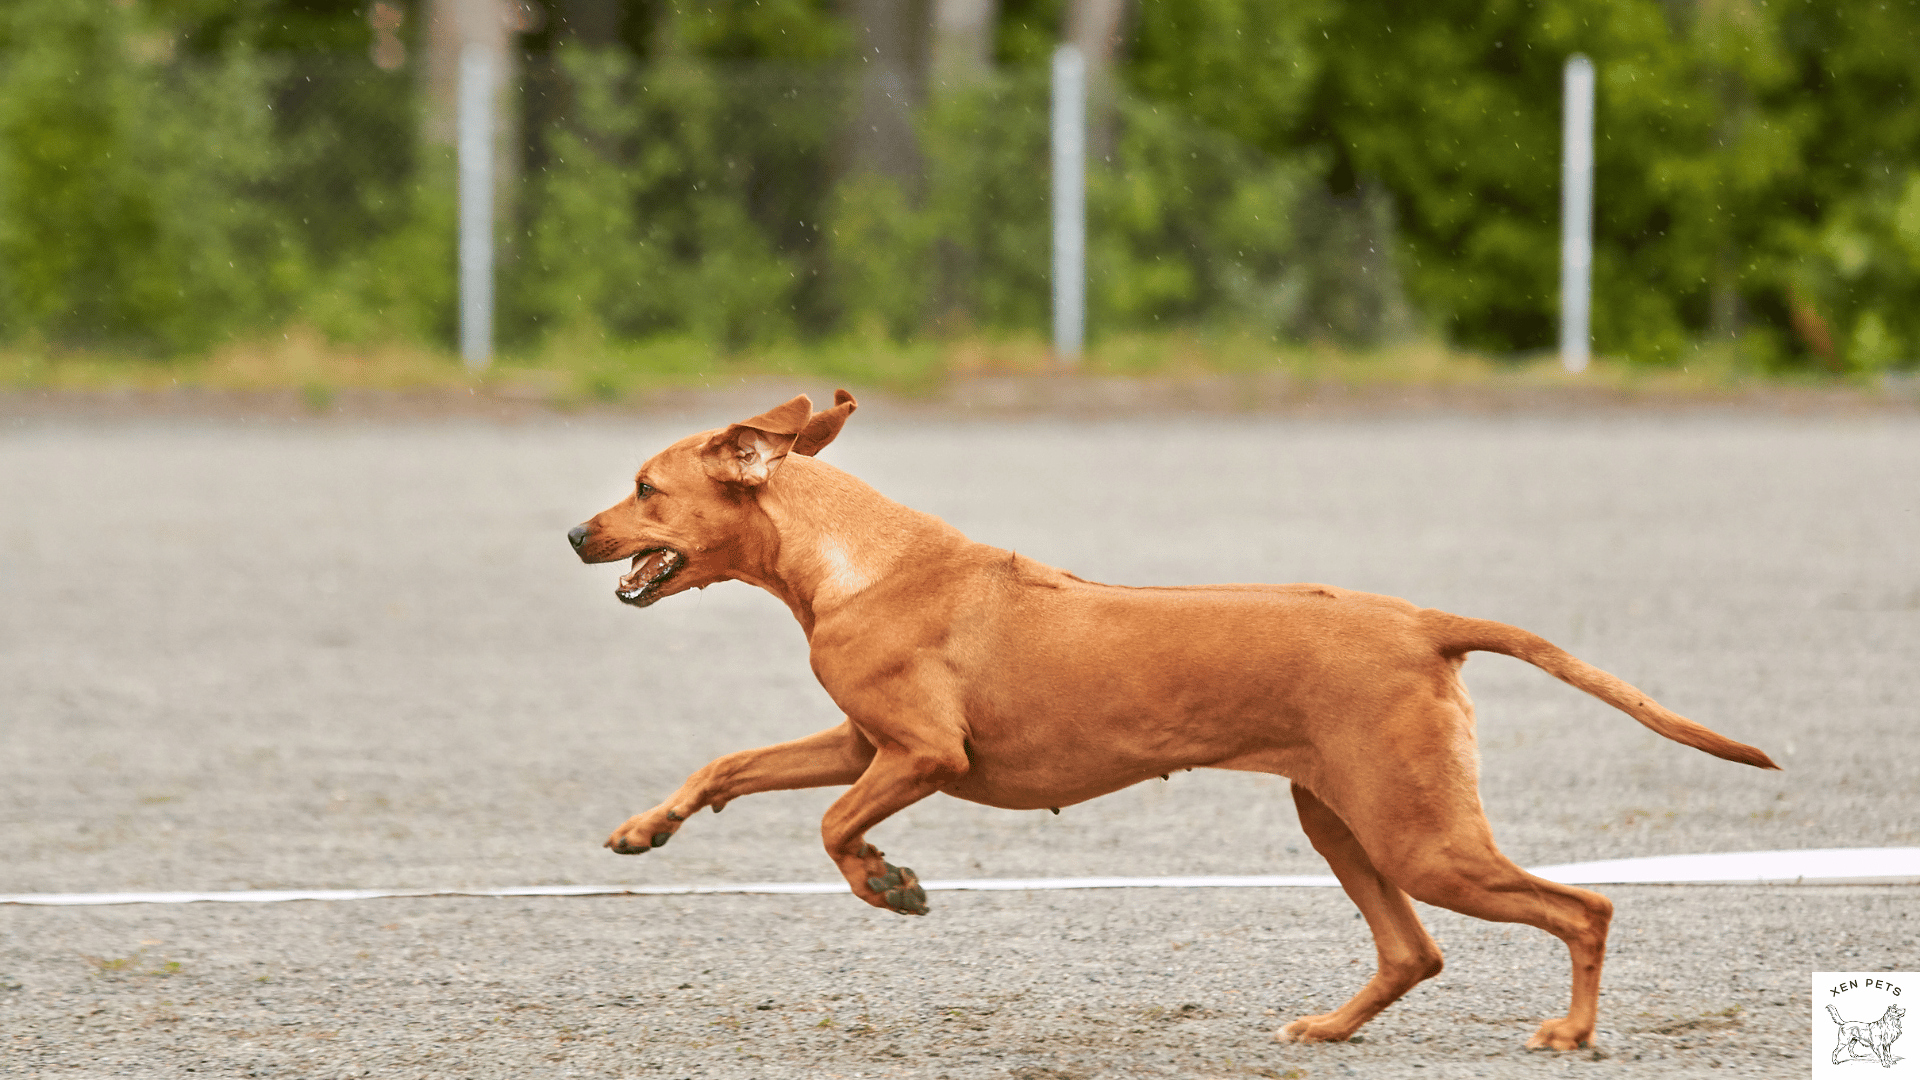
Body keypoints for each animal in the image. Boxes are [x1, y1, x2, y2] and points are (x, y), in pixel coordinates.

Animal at [560, 390, 1774, 1045]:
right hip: (1343, 820)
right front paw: (644, 829)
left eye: (645, 487)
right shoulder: (861, 744)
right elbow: (728, 764)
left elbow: (830, 830)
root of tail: (1423, 622)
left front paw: (888, 884)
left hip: (1416, 834)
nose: (574, 534)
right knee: (1415, 952)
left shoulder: (921, 754)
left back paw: (1571, 1031)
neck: (854, 557)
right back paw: (1328, 1028)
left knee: (1585, 908)